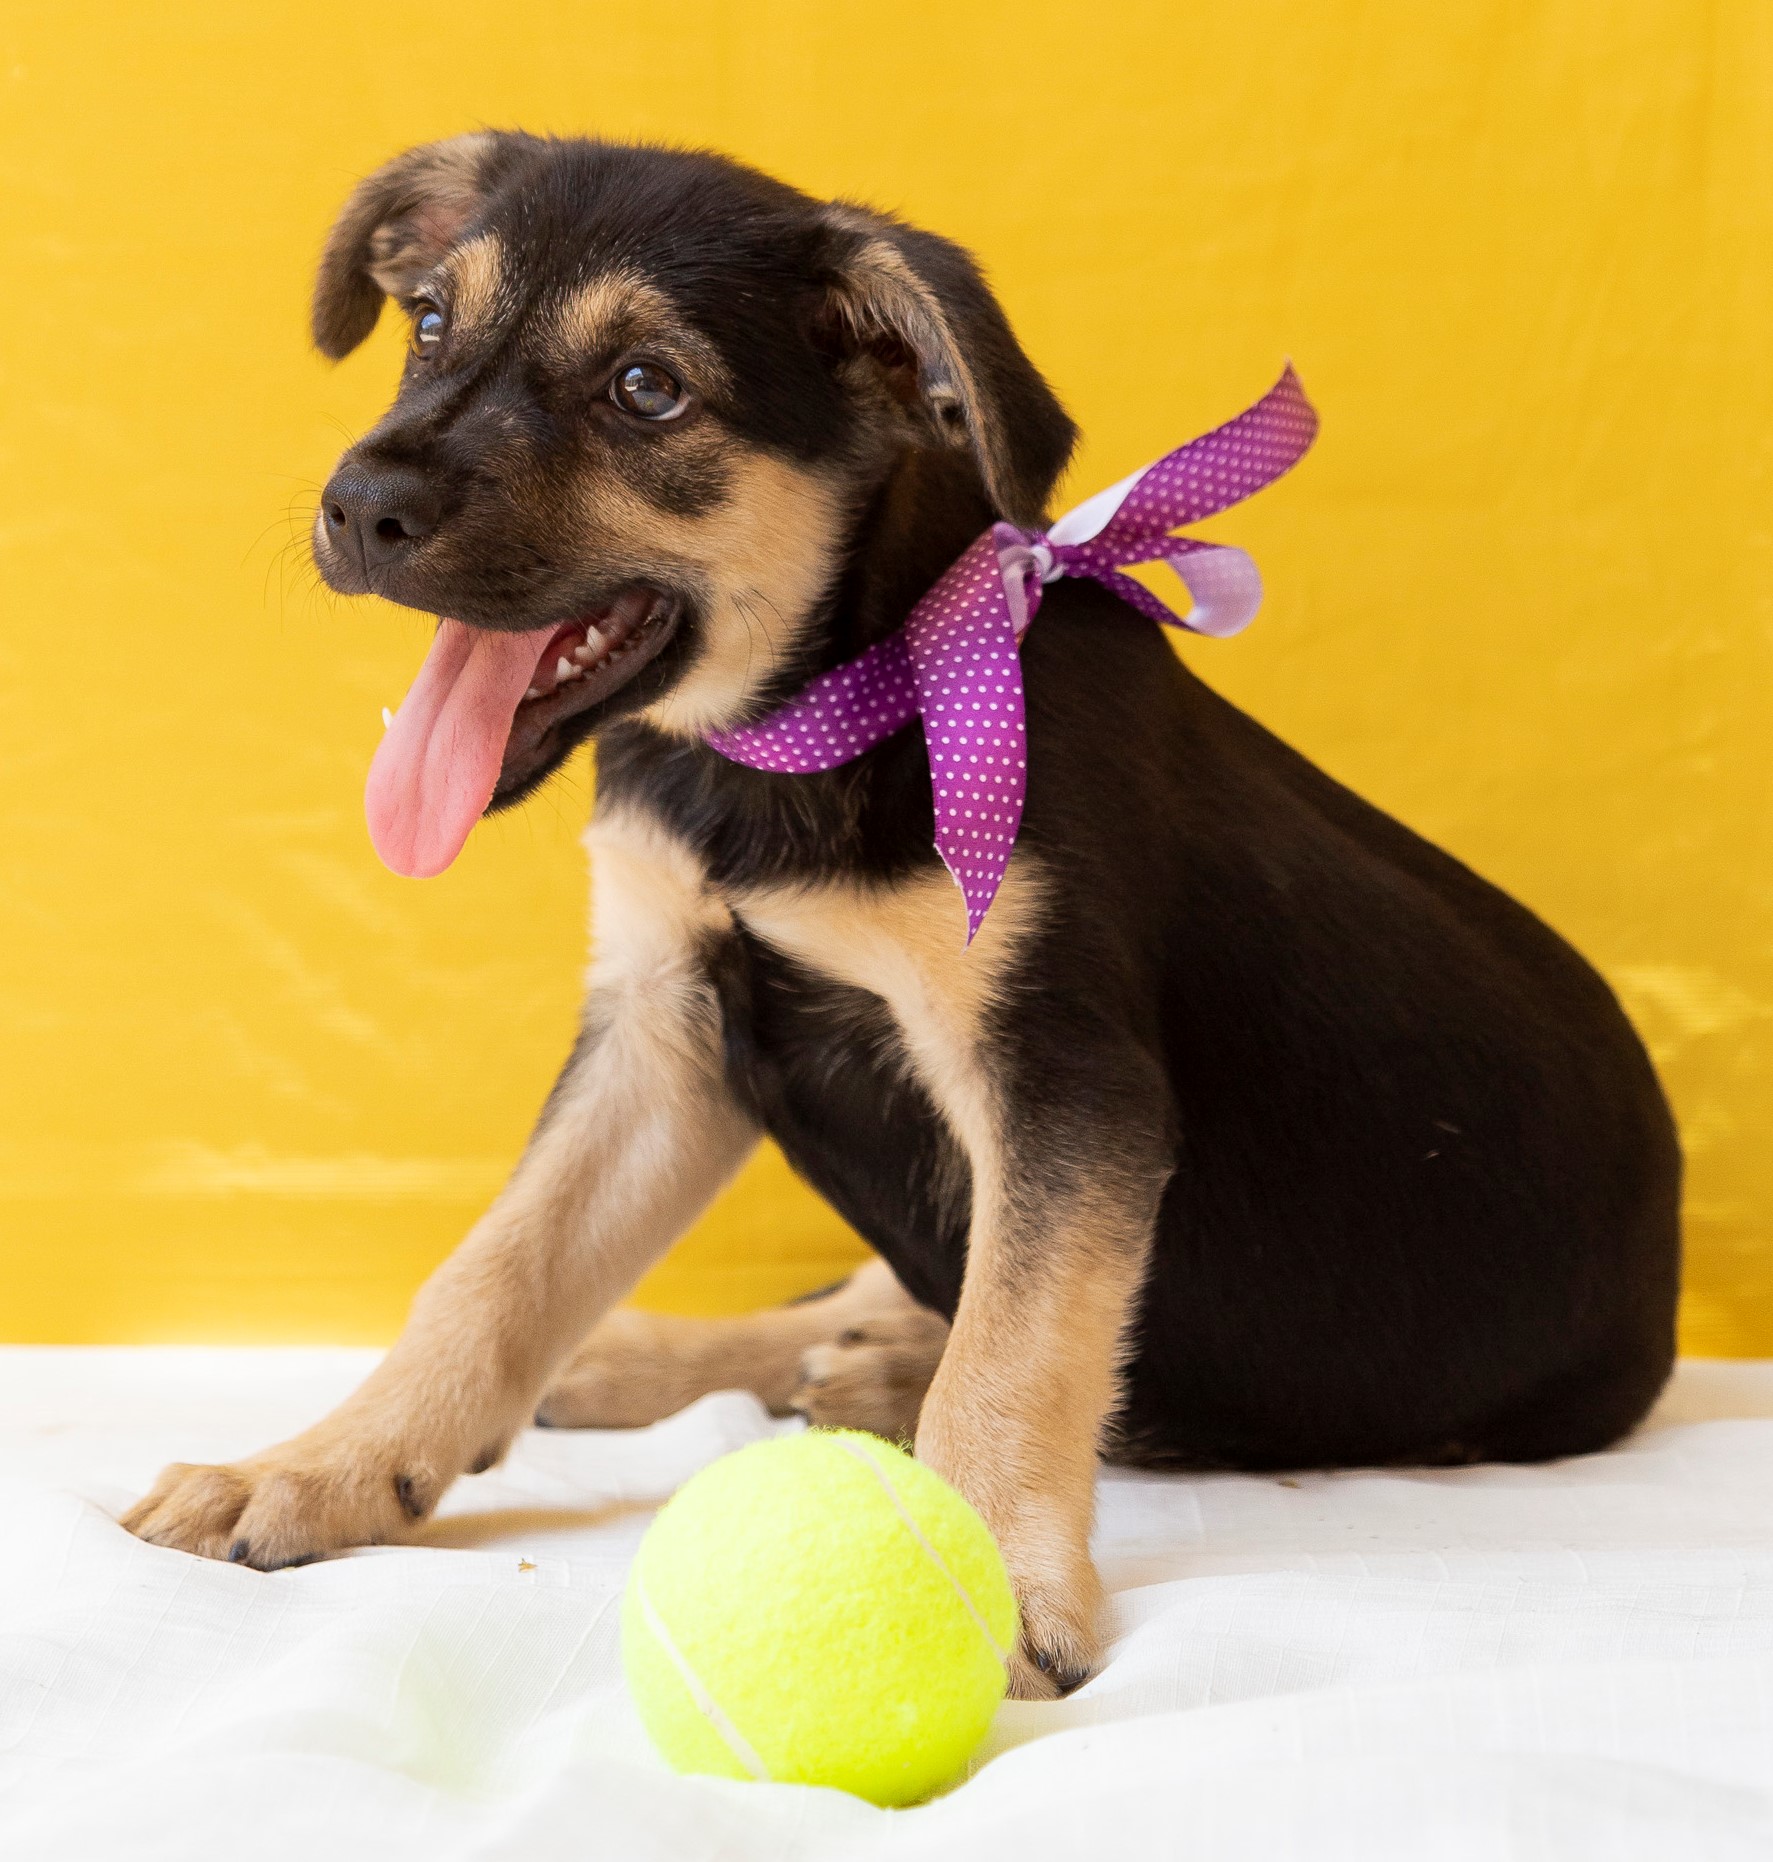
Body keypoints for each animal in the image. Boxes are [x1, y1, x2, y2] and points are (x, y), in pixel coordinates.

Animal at [124, 134, 1676, 1705]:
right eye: (430, 323)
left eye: (647, 389)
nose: (356, 506)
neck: (814, 721)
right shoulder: (663, 1029)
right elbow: (492, 1269)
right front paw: (321, 1464)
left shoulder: (1059, 1074)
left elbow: (1017, 1341)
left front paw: (987, 1572)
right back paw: (689, 1352)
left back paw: (865, 1370)